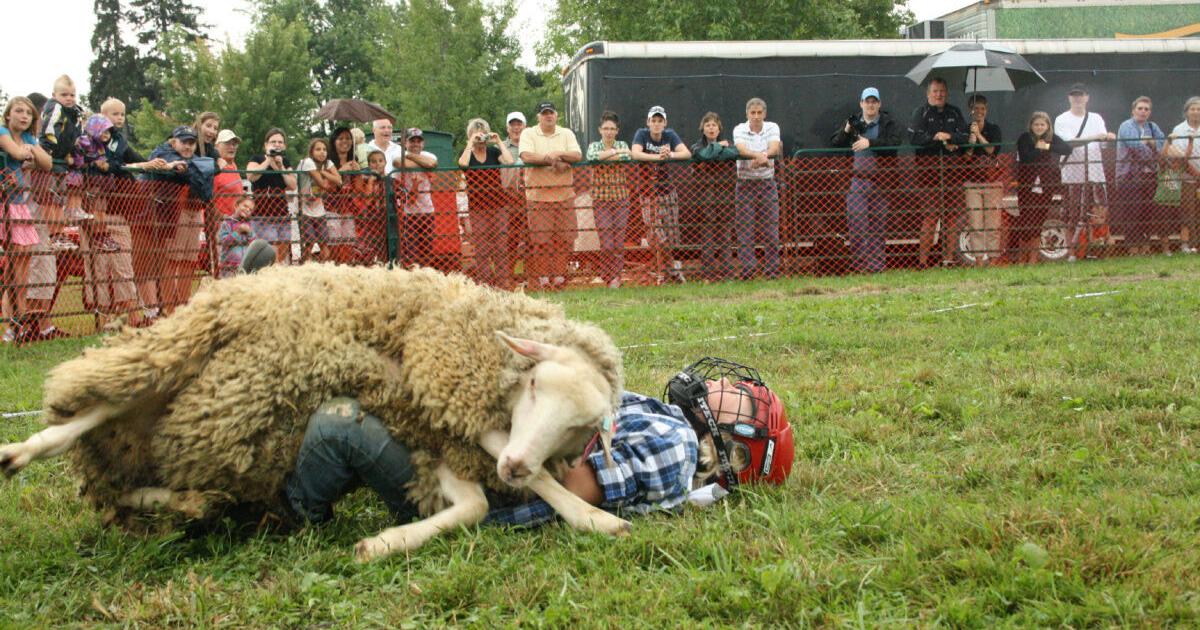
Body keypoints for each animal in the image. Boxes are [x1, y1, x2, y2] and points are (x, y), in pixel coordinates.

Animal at [0, 264, 632, 561]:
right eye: (534, 386)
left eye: (579, 426)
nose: (516, 469)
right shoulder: (438, 384)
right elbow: (514, 469)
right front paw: (591, 516)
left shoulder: (437, 440)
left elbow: (473, 506)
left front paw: (387, 543)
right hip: (177, 361)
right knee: (85, 416)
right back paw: (18, 453)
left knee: (127, 485)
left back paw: (185, 502)